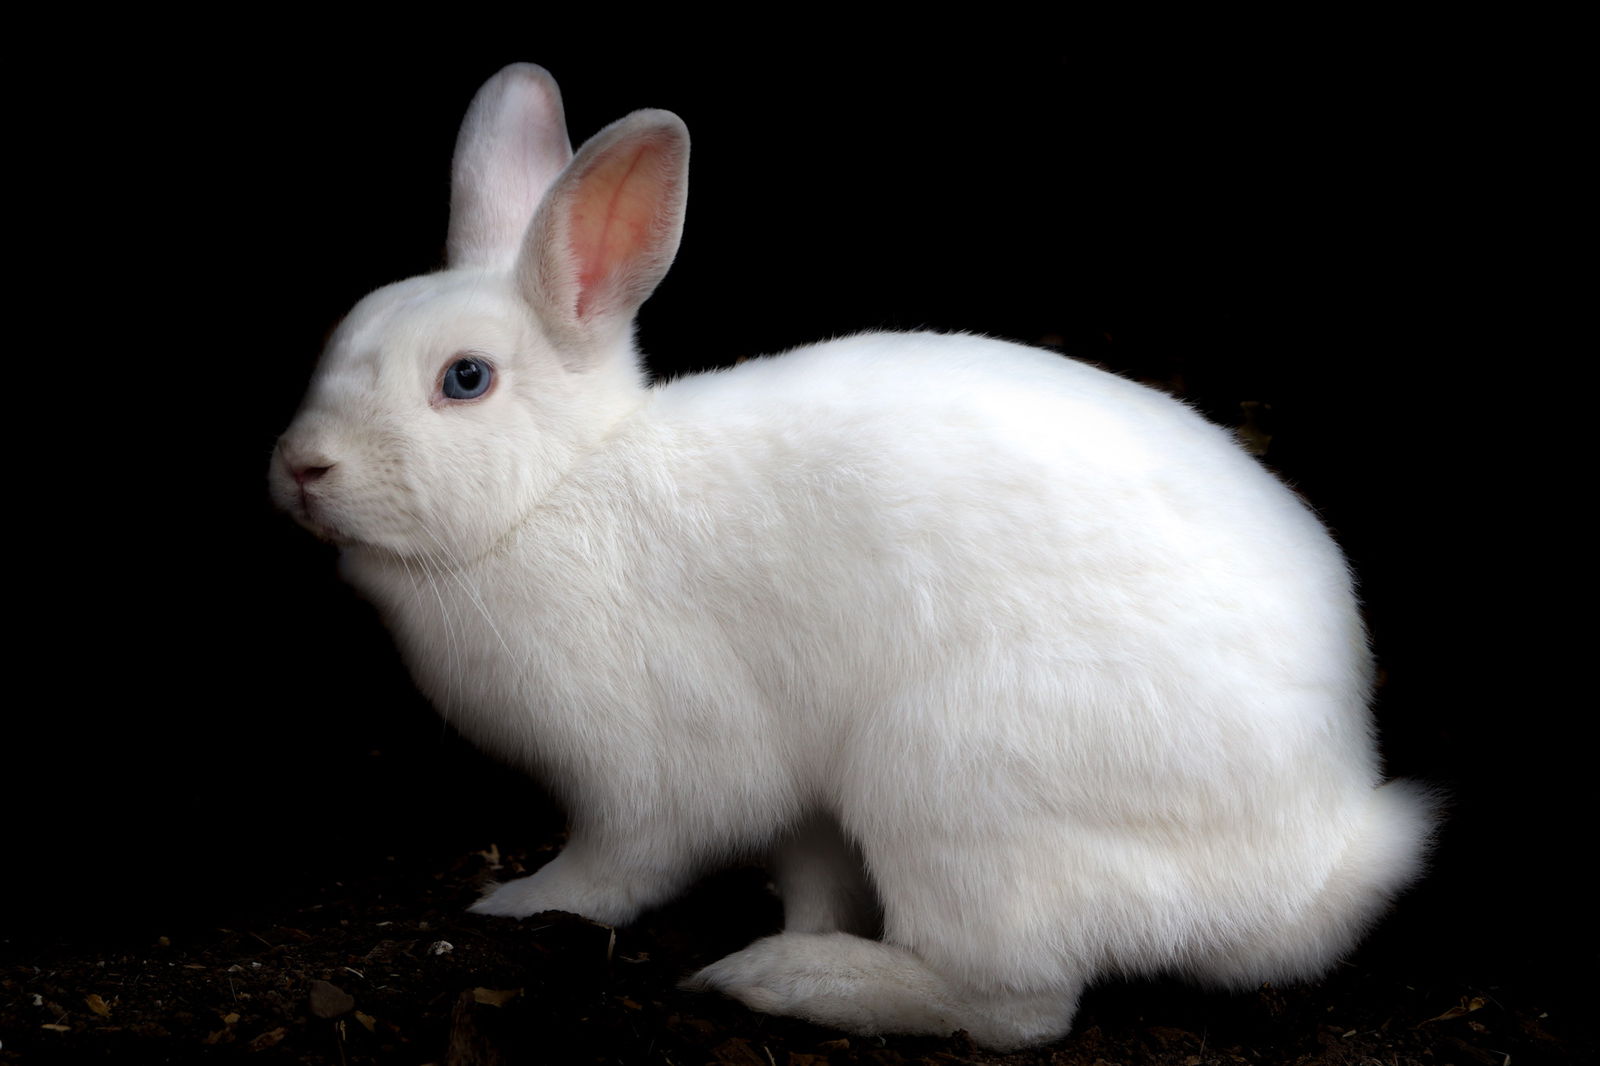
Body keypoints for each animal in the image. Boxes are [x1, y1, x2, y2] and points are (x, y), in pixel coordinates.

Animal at [268, 62, 1433, 1043]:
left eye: (464, 380)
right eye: (344, 332)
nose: (298, 468)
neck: (558, 488)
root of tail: (1313, 860)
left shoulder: (643, 776)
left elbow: (616, 870)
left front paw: (516, 902)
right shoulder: (799, 803)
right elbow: (812, 867)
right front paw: (812, 916)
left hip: (955, 789)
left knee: (1014, 1004)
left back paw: (788, 980)